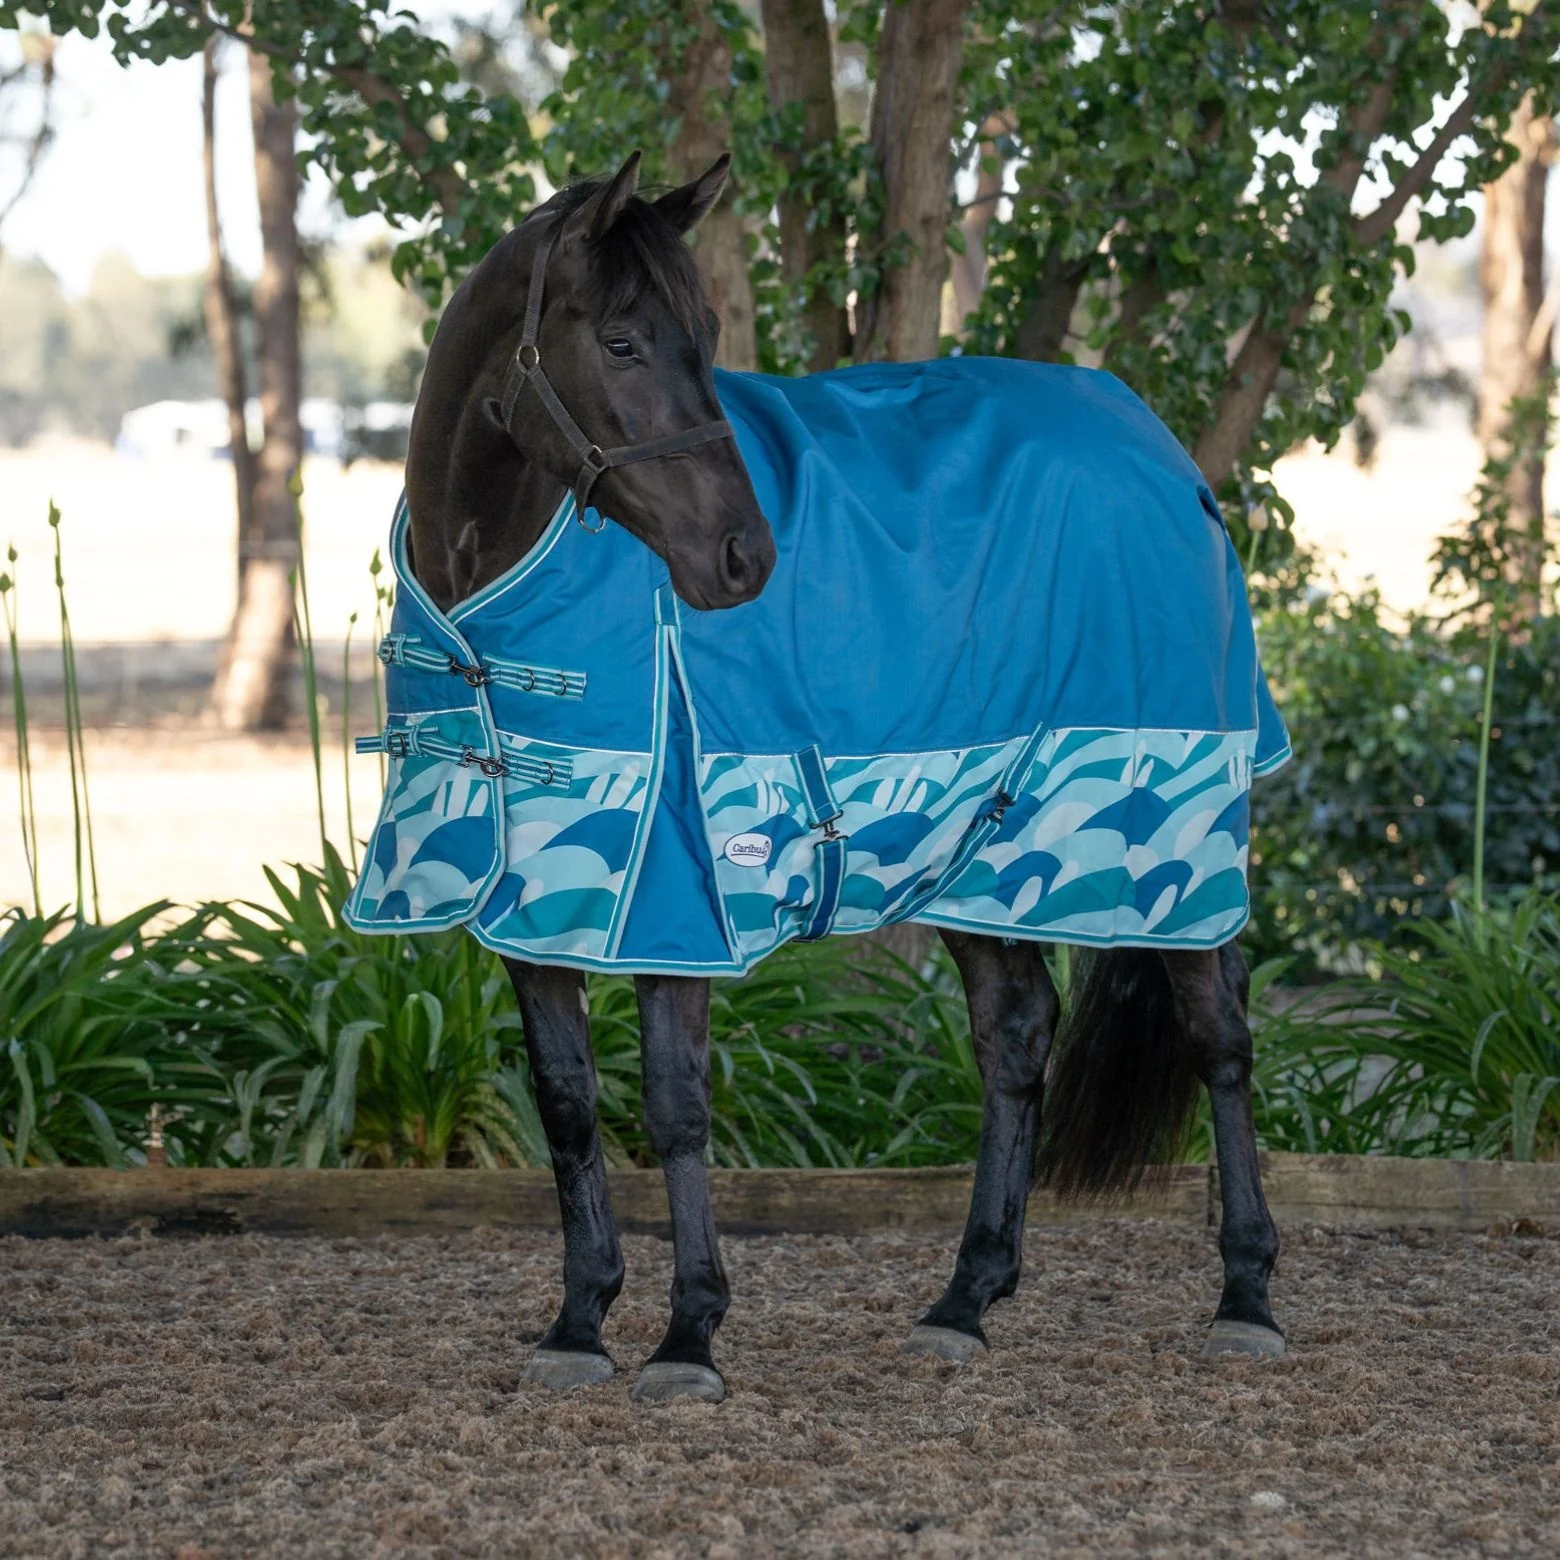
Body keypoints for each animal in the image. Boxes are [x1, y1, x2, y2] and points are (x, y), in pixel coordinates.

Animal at [351, 151, 1288, 1403]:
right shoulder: (530, 900)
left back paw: (1246, 1295)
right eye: (621, 341)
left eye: (705, 336)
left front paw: (688, 1335)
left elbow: (675, 1106)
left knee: (1217, 1032)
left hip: (1175, 829)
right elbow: (567, 1104)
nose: (744, 558)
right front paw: (579, 1323)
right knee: (1014, 1038)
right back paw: (965, 1299)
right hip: (979, 837)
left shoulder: (670, 892)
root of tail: (1165, 454)